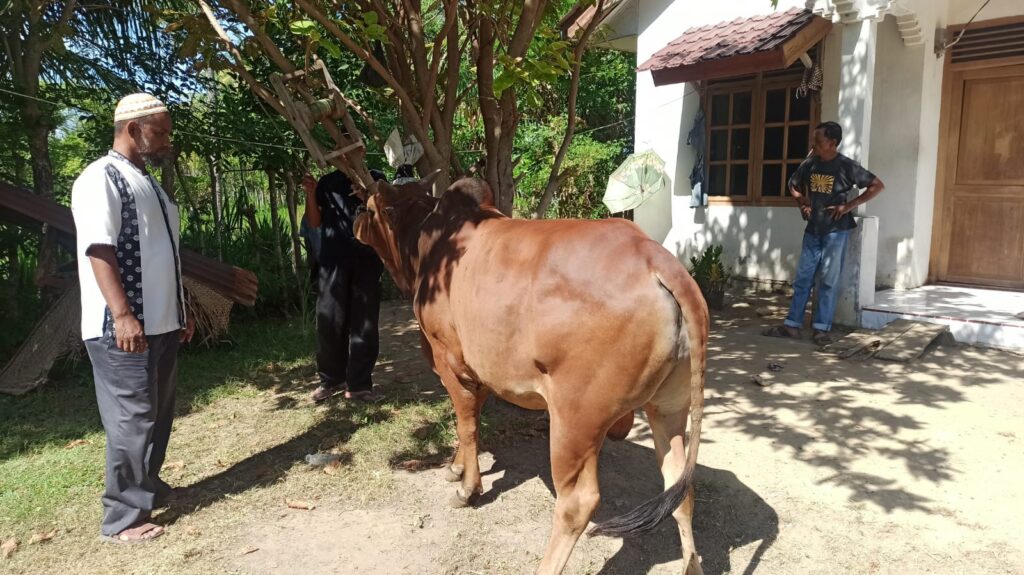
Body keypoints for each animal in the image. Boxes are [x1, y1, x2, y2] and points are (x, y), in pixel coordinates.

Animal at [356, 175, 708, 572]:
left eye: (368, 206)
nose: (354, 221)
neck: (427, 241)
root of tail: (658, 259)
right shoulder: (480, 370)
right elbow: (470, 419)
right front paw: (457, 468)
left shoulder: (449, 359)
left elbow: (466, 423)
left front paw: (466, 487)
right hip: (669, 408)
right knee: (680, 488)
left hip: (575, 420)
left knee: (577, 503)